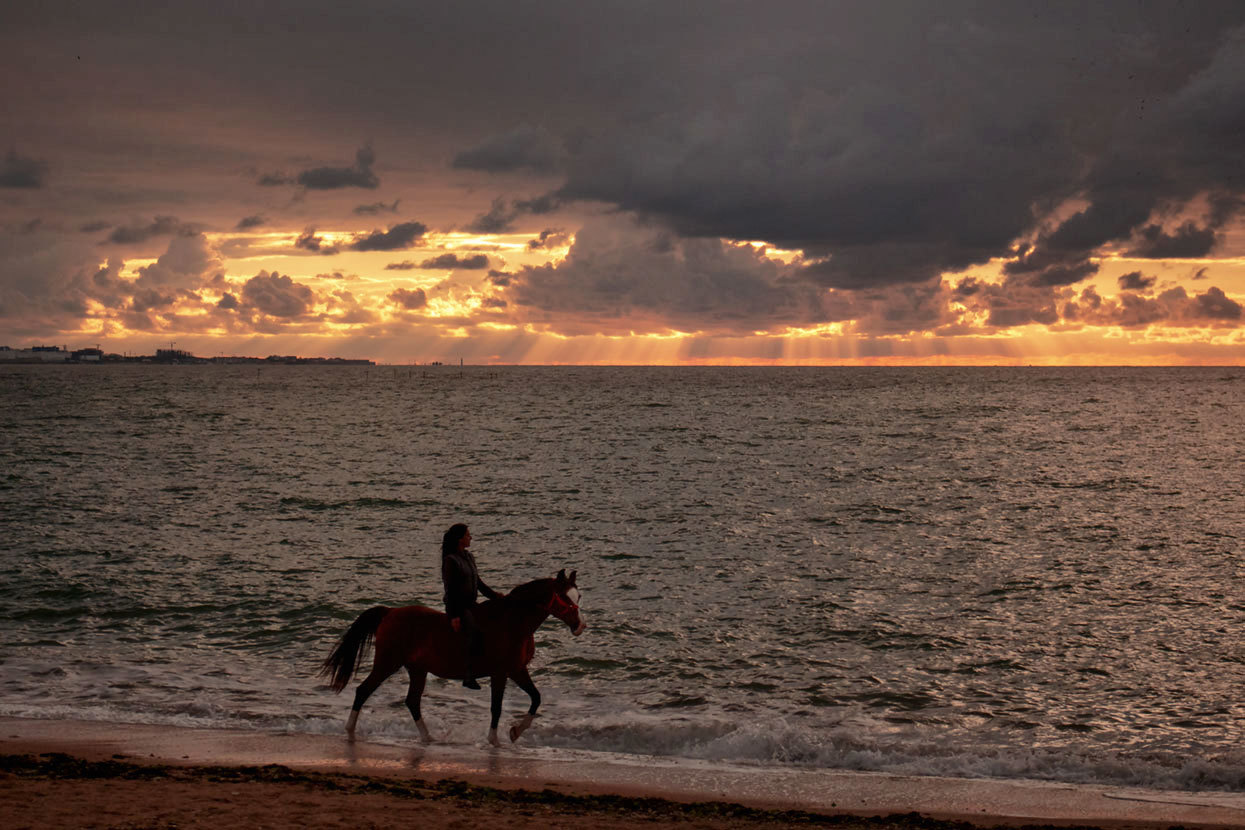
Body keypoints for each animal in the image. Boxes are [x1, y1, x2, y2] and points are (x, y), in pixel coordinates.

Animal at [321, 572, 582, 746]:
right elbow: (496, 707)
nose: (580, 626)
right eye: (565, 598)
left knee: (412, 701)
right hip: (387, 663)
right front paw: (494, 740)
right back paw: (350, 730)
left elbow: (536, 698)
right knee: (363, 691)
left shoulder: (517, 670)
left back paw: (428, 737)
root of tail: (390, 612)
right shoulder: (500, 673)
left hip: (417, 670)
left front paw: (515, 731)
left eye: (578, 596)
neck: (514, 623)